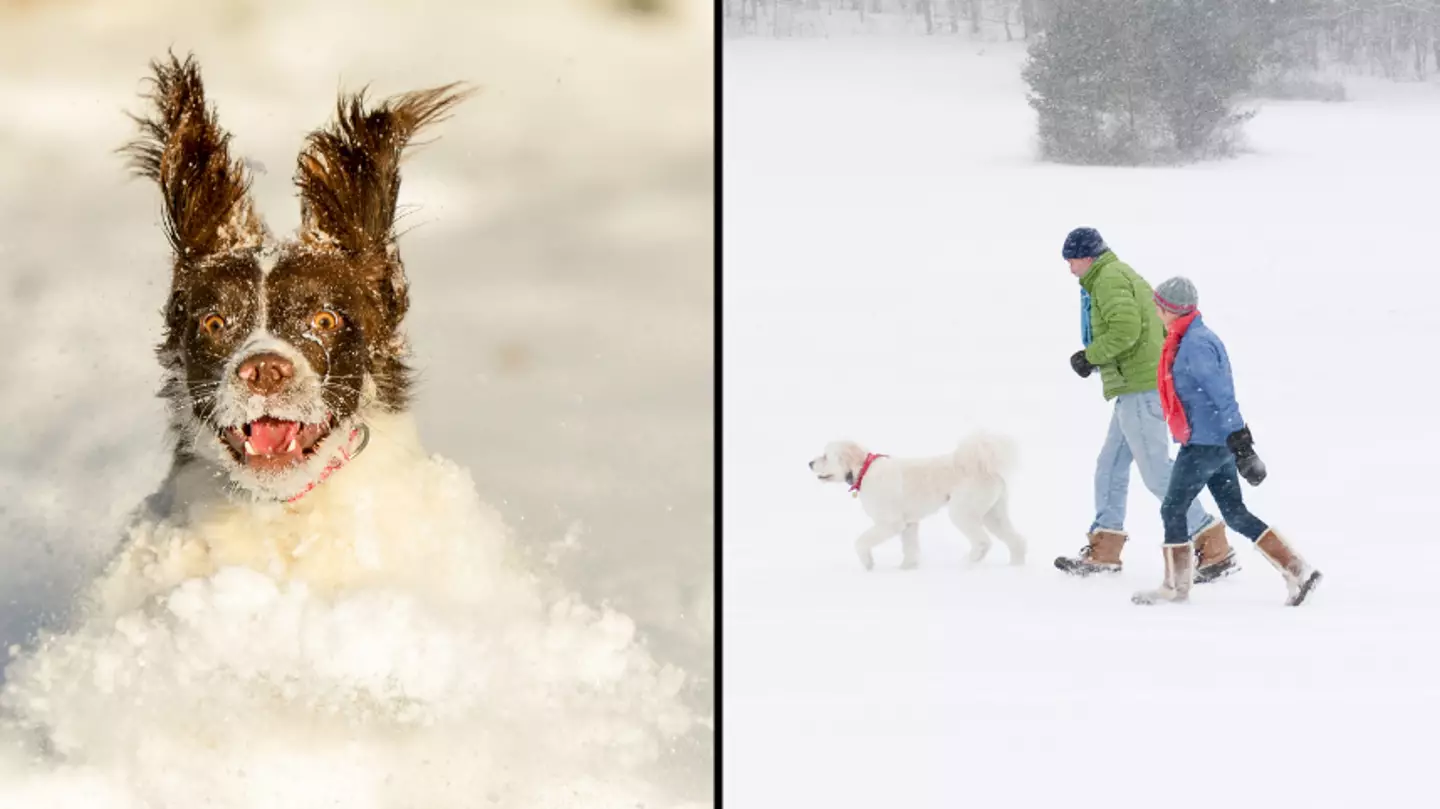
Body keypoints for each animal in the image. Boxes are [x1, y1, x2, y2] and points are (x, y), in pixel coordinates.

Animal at [812, 431, 1025, 570]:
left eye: (825, 456)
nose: (809, 463)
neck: (864, 469)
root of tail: (984, 466)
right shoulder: (909, 524)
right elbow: (910, 548)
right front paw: (907, 568)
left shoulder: (890, 523)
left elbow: (861, 542)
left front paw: (868, 563)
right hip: (993, 514)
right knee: (1016, 540)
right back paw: (1016, 566)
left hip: (962, 512)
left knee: (982, 542)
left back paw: (967, 563)